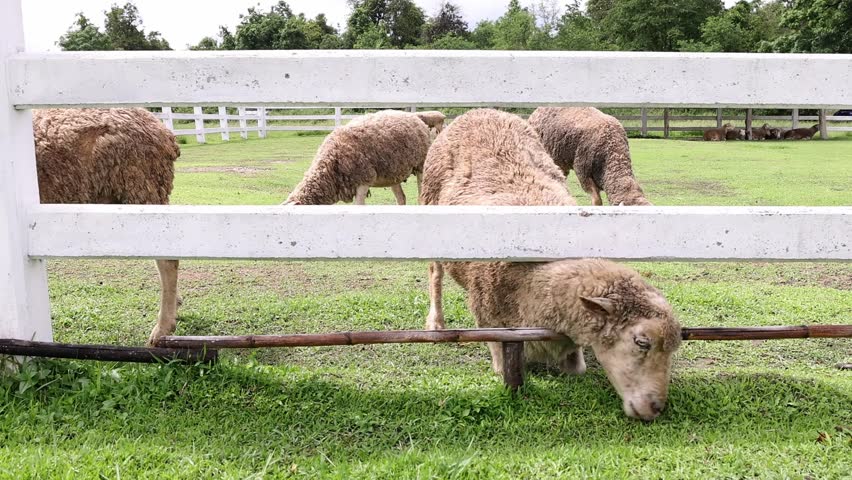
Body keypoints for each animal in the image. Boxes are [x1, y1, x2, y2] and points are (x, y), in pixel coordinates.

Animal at [421, 109, 682, 421]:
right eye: (641, 342)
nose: (656, 408)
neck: (531, 283)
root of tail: (480, 111)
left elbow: (577, 368)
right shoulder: (491, 323)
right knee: (435, 275)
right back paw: (436, 322)